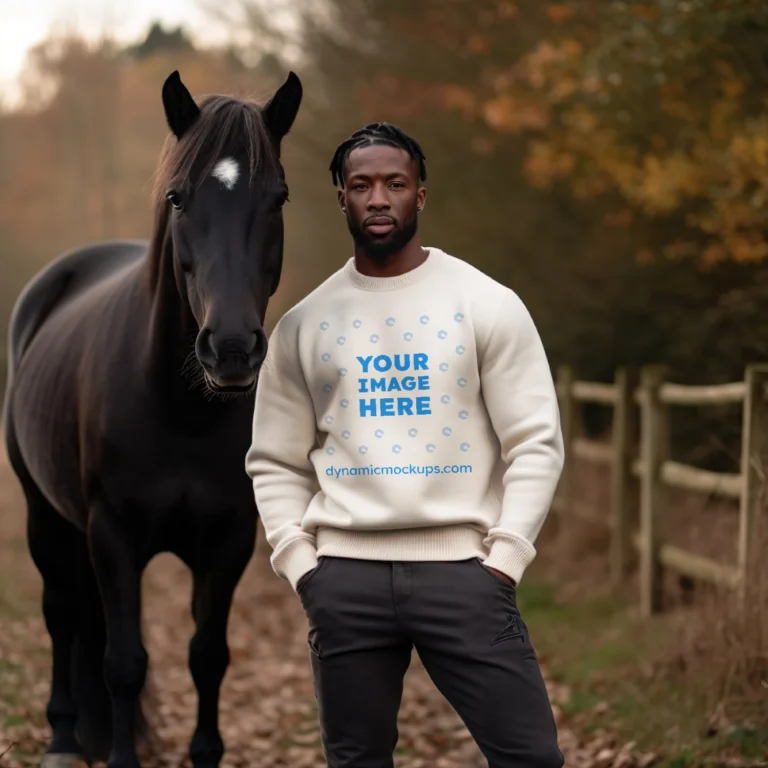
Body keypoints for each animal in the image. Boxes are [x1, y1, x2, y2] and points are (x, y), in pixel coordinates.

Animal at [3, 67, 304, 768]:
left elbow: (207, 657)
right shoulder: (112, 536)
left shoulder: (228, 542)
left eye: (278, 197)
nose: (231, 347)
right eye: (177, 197)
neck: (180, 411)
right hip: (44, 516)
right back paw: (63, 740)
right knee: (62, 613)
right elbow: (124, 663)